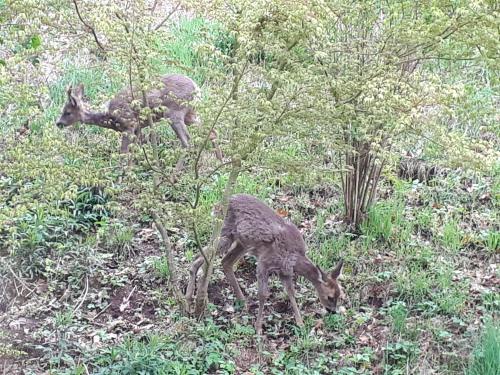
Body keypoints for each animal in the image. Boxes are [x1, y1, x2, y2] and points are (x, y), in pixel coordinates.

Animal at [54, 73, 221, 159]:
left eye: (67, 112)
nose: (58, 123)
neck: (111, 119)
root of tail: (197, 88)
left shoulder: (129, 125)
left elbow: (123, 153)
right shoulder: (138, 128)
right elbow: (134, 151)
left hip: (175, 112)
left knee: (187, 143)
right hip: (191, 114)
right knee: (212, 131)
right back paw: (220, 161)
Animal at [188, 194, 344, 334]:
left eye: (339, 295)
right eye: (330, 296)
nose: (333, 311)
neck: (294, 257)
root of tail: (217, 205)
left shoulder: (284, 271)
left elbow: (291, 292)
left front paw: (300, 323)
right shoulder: (264, 261)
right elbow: (263, 294)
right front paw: (258, 328)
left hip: (243, 242)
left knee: (224, 261)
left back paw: (242, 301)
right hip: (225, 233)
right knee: (201, 256)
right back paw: (190, 297)